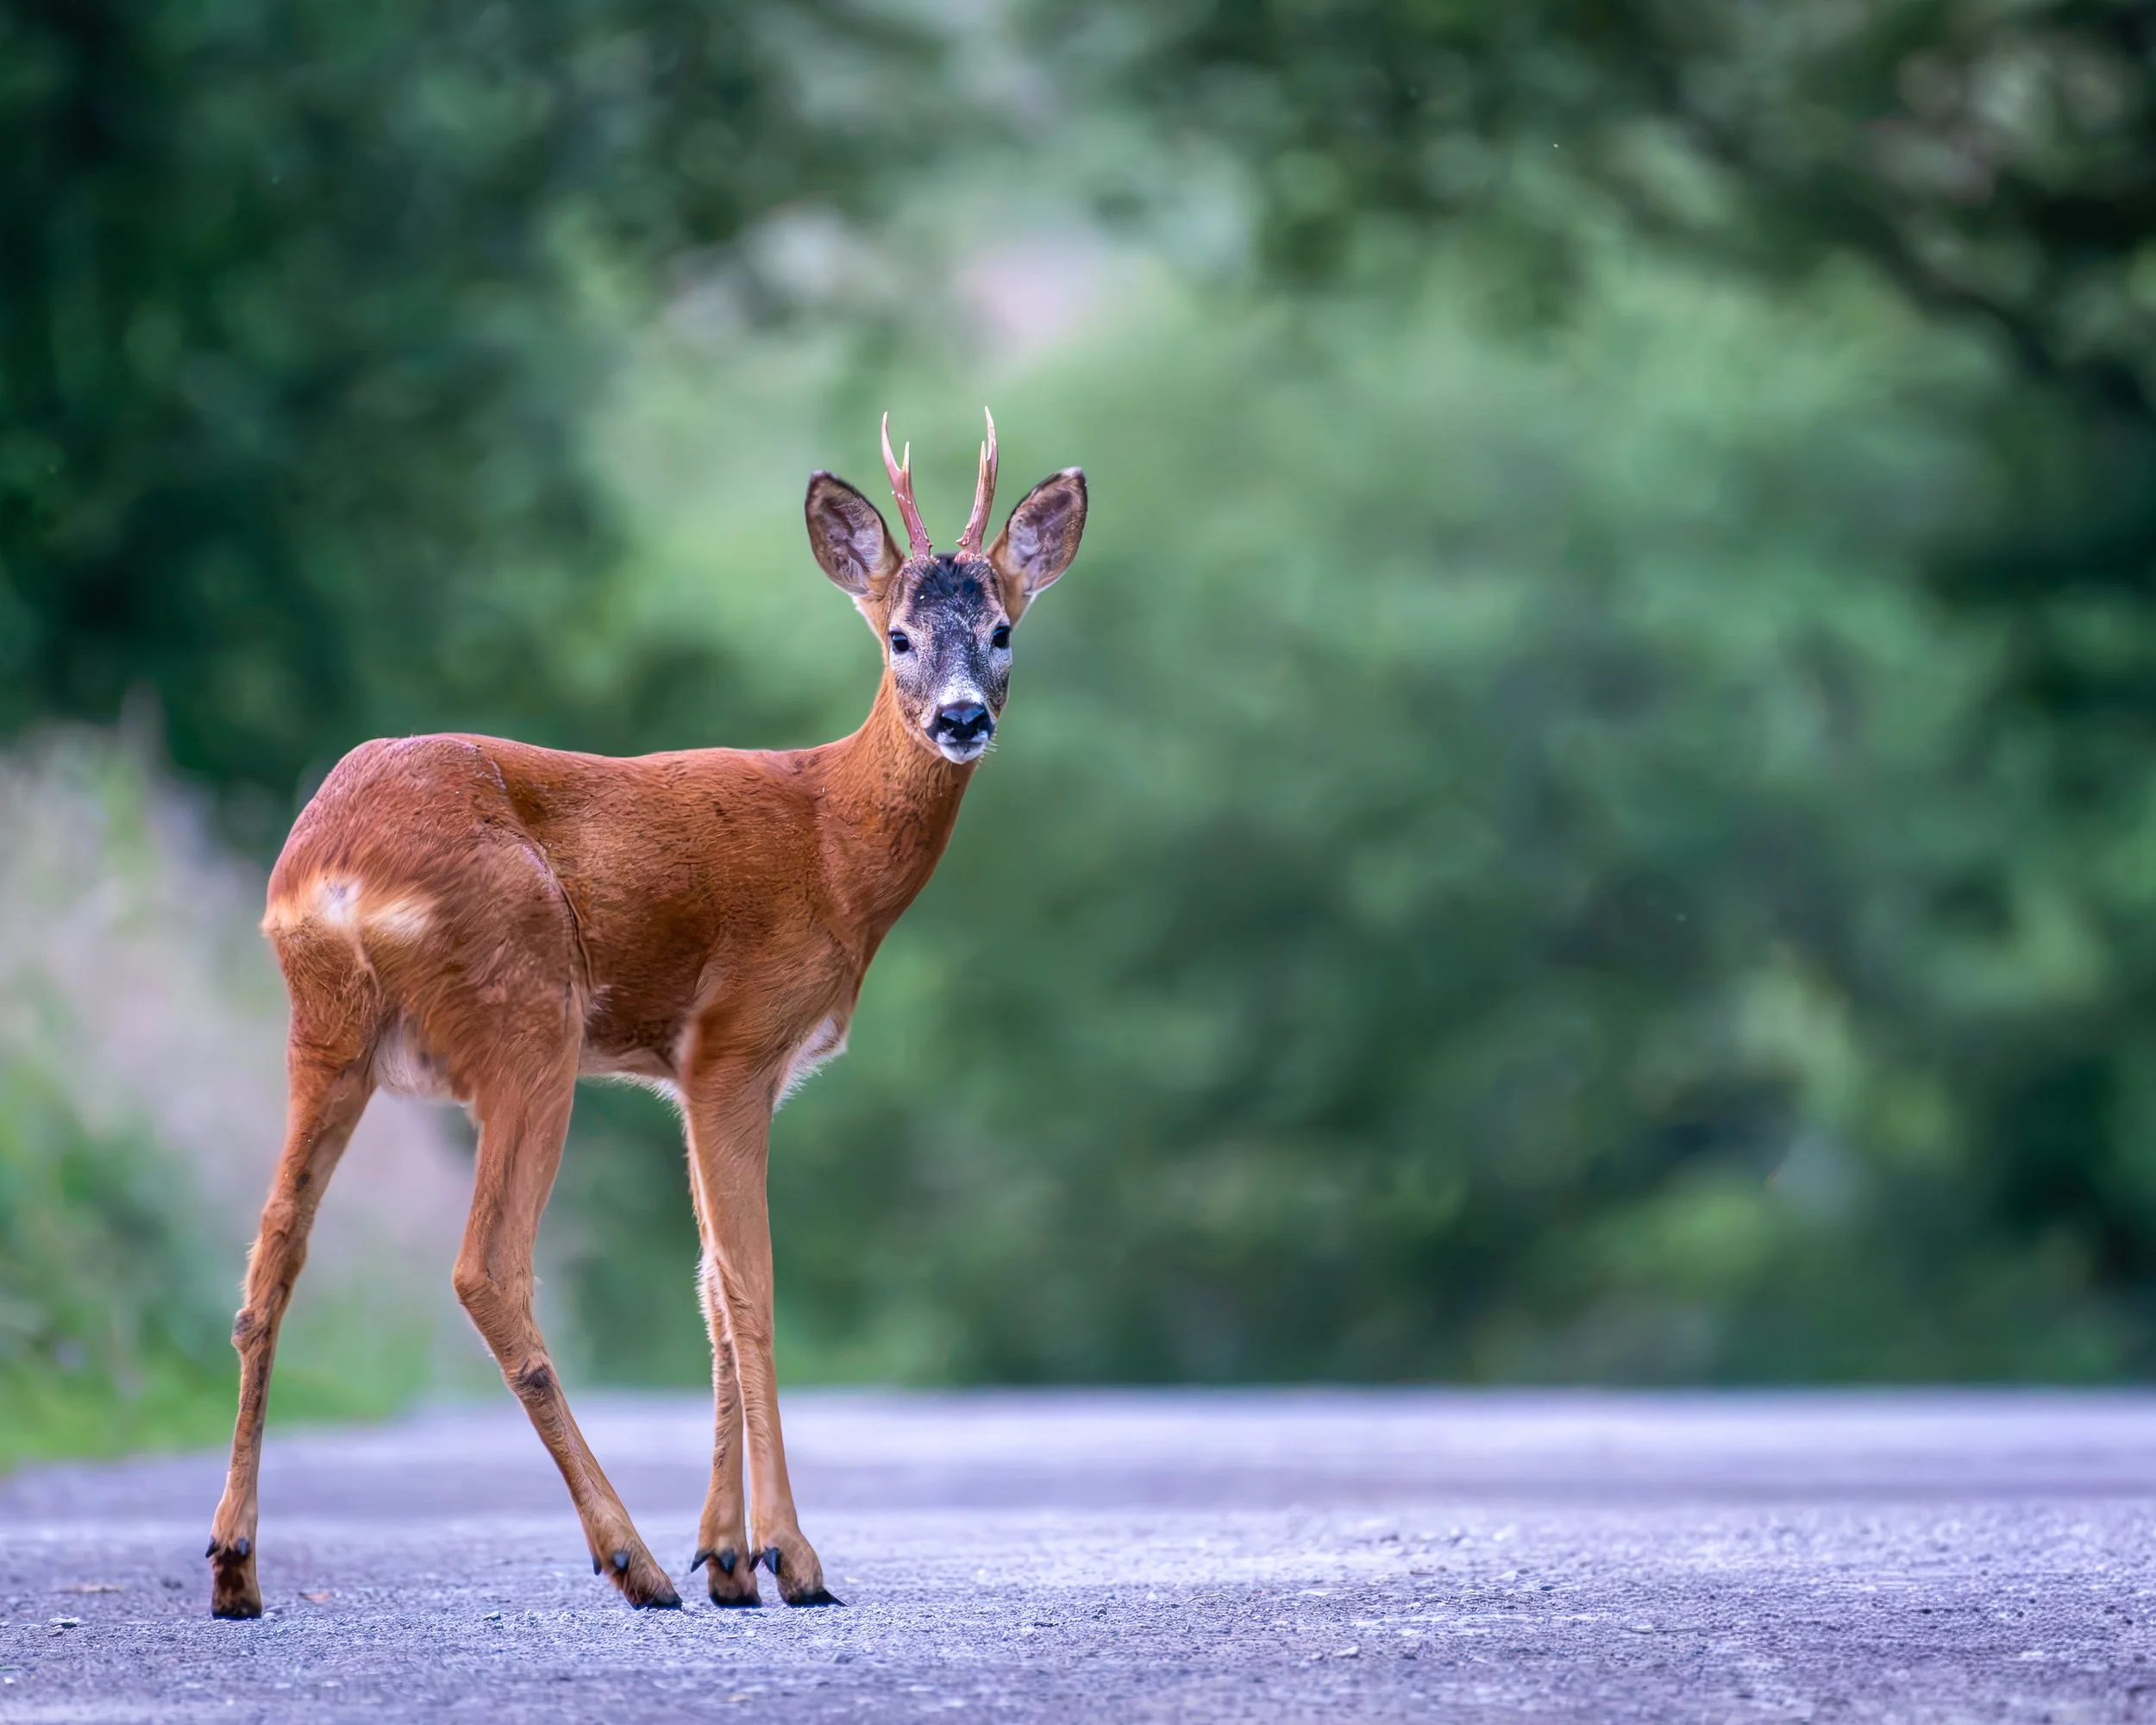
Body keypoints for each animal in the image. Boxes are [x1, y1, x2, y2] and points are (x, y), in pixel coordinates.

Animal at [204, 411, 1086, 1619]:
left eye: (1001, 629)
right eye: (898, 636)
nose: (962, 717)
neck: (835, 845)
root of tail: (328, 867)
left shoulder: (679, 1068)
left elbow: (708, 1288)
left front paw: (730, 1557)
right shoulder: (735, 1042)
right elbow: (750, 1289)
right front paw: (787, 1558)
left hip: (325, 1035)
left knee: (268, 1263)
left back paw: (235, 1565)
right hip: (528, 1018)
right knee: (486, 1266)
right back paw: (633, 1559)